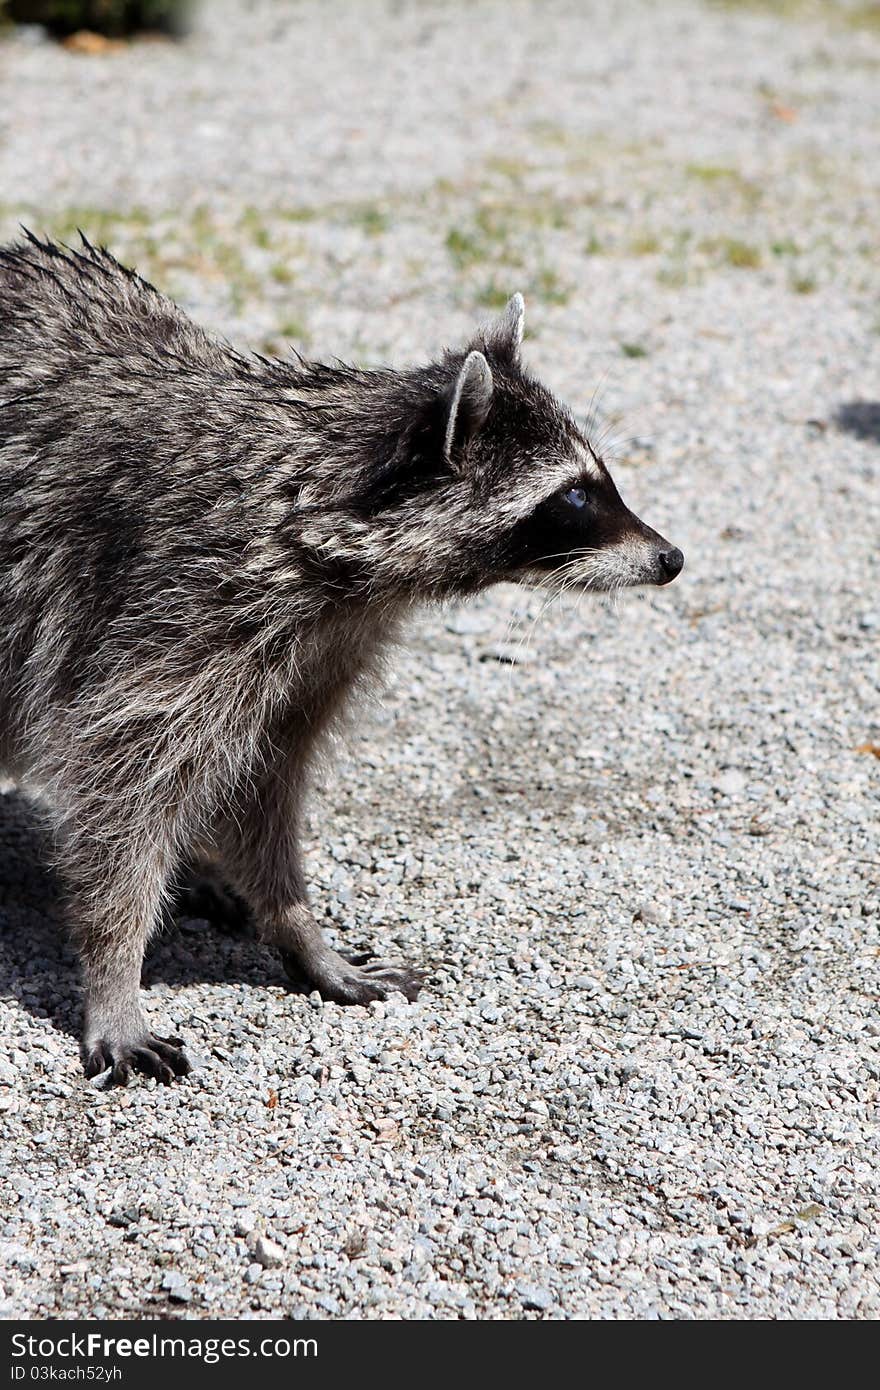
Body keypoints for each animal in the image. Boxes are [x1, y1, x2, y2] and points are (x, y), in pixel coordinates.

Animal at [0, 233, 683, 1084]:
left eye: (601, 482)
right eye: (575, 497)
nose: (671, 558)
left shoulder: (325, 644)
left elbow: (266, 781)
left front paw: (297, 926)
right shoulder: (184, 610)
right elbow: (123, 791)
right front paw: (114, 970)